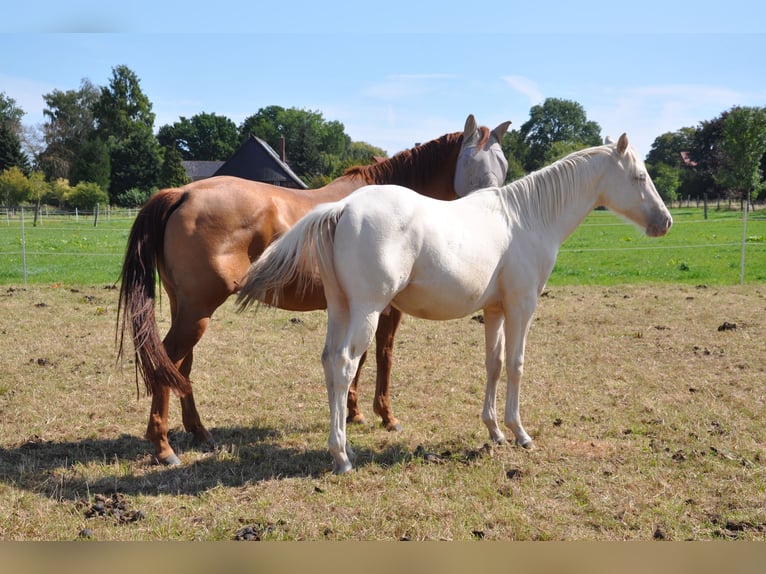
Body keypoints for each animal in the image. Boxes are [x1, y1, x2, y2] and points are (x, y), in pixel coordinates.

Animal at [117, 114, 510, 465]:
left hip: (188, 310)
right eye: (471, 161)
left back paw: (199, 432)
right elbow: (380, 356)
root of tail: (182, 193)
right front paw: (384, 415)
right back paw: (163, 446)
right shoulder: (384, 310)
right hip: (196, 312)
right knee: (167, 361)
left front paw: (353, 412)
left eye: (503, 163)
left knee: (180, 367)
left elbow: (358, 360)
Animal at [236, 133, 673, 474]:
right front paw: (520, 433)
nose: (665, 221)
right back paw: (342, 456)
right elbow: (516, 365)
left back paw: (340, 448)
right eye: (639, 176)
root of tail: (342, 208)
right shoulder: (521, 307)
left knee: (329, 363)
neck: (528, 218)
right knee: (344, 366)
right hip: (367, 311)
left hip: (341, 310)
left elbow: (494, 364)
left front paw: (494, 431)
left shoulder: (495, 310)